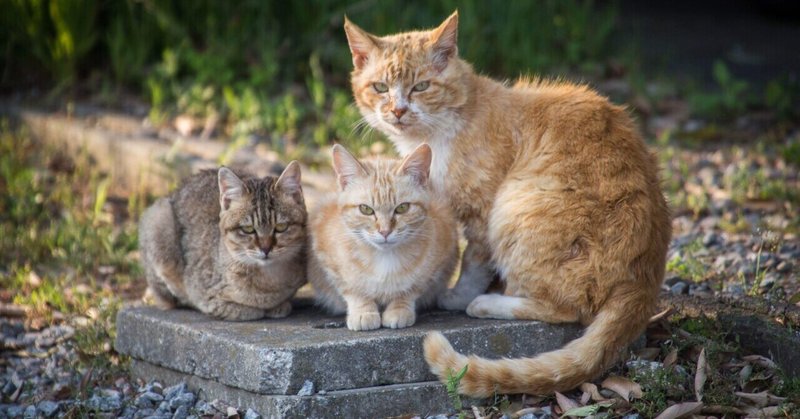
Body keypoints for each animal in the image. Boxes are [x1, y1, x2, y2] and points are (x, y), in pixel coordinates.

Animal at [138, 162, 306, 320]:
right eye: (248, 229)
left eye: (281, 227)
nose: (265, 249)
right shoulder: (201, 293)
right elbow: (236, 308)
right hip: (158, 220)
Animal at [306, 144, 456, 332]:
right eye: (366, 209)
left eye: (402, 208)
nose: (385, 231)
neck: (384, 258)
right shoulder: (327, 259)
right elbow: (354, 290)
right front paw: (364, 311)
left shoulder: (438, 263)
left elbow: (411, 289)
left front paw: (399, 308)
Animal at [344, 10, 668, 398]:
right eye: (380, 88)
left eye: (420, 87)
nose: (397, 110)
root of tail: (645, 279)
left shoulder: (483, 212)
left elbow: (473, 261)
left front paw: (458, 295)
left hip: (515, 208)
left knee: (566, 309)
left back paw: (488, 302)